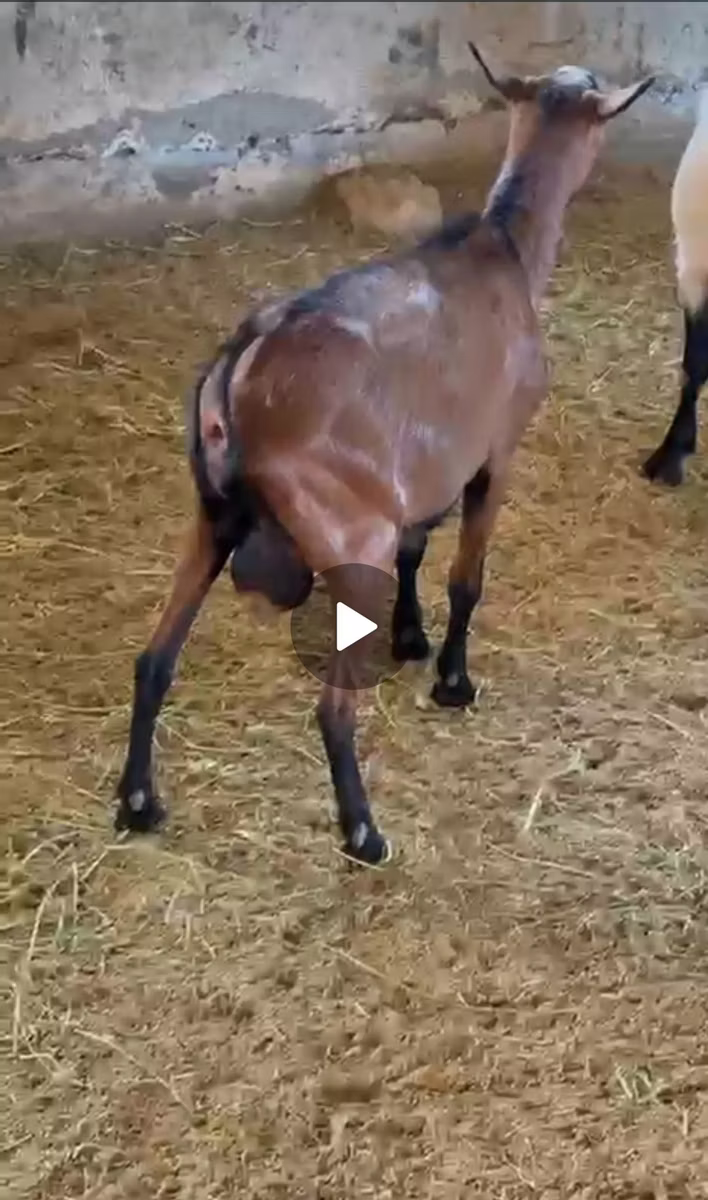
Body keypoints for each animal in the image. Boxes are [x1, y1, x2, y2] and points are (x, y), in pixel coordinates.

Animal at [113, 44, 653, 866]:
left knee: (153, 660)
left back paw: (139, 803)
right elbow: (466, 577)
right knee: (332, 708)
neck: (503, 248)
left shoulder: (421, 467)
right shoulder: (495, 450)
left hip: (212, 517)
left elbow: (416, 548)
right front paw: (453, 680)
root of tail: (241, 368)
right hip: (345, 532)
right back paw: (364, 832)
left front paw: (410, 638)